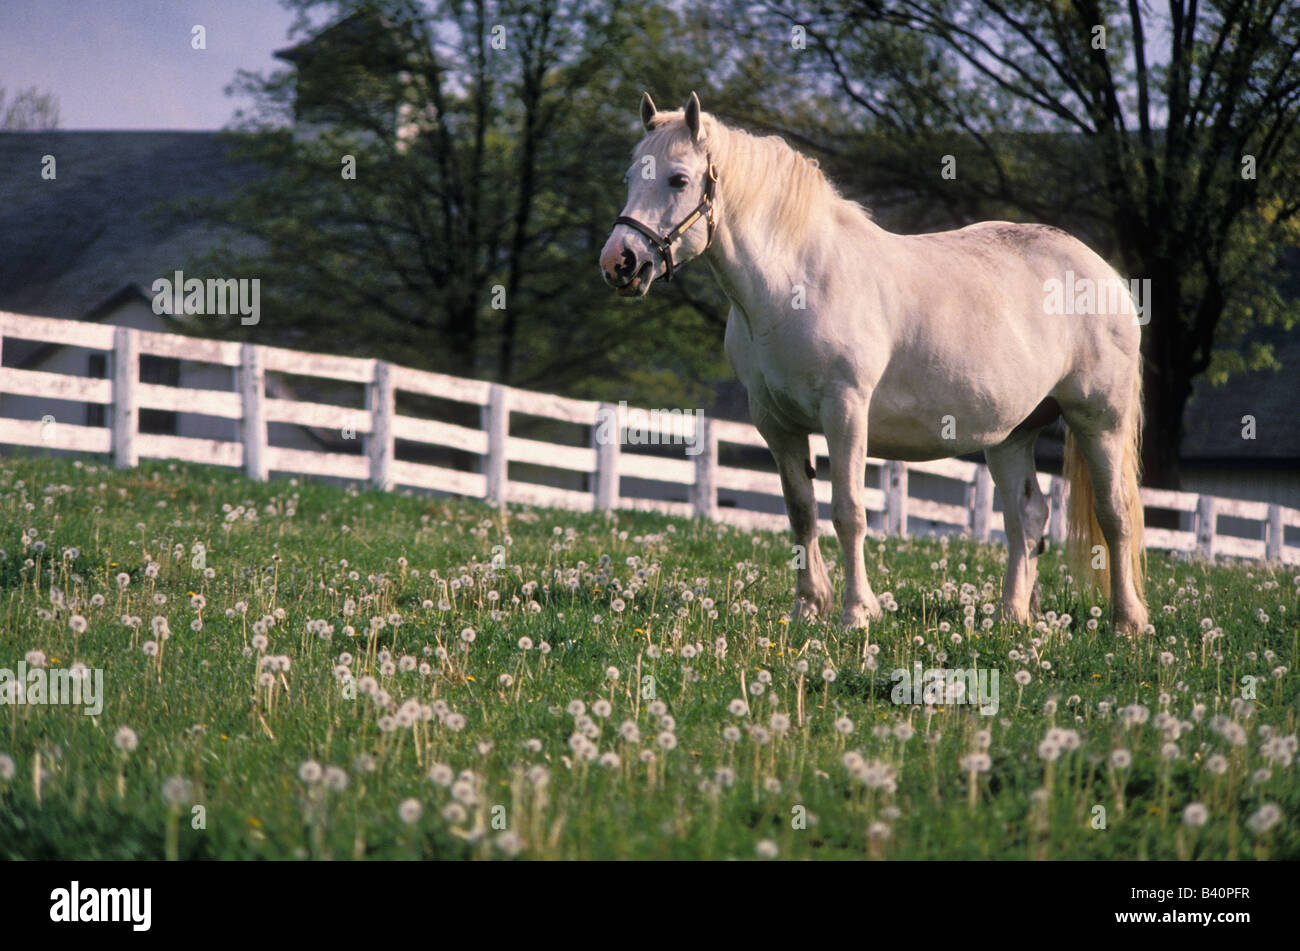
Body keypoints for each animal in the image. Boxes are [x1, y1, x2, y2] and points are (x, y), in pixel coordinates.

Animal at [599, 92, 1148, 634]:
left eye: (678, 179)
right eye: (628, 177)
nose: (619, 263)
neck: (794, 282)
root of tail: (1103, 273)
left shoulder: (845, 410)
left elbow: (849, 511)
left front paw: (856, 612)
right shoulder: (775, 422)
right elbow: (800, 511)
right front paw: (808, 607)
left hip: (1099, 419)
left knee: (1114, 513)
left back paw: (1127, 621)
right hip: (1012, 436)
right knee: (1025, 517)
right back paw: (1010, 616)